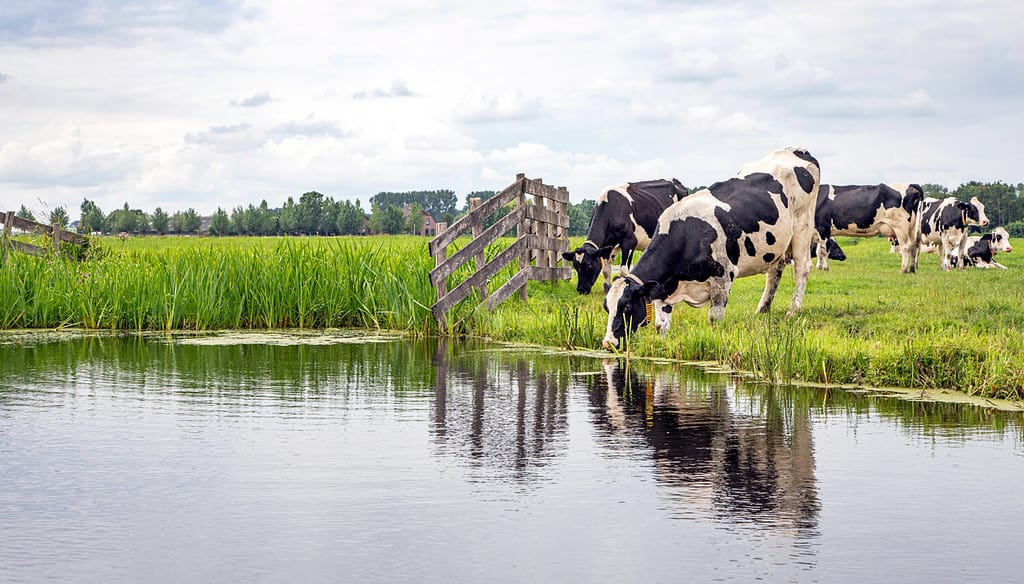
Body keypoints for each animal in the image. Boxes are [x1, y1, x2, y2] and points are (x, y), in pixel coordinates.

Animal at [602, 145, 819, 348]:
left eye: (627, 306)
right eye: (607, 307)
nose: (608, 343)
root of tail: (797, 149)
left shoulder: (723, 278)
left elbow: (715, 320)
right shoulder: (663, 290)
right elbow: (660, 325)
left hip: (803, 225)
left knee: (802, 268)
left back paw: (793, 310)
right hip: (777, 243)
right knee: (774, 272)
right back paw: (762, 309)